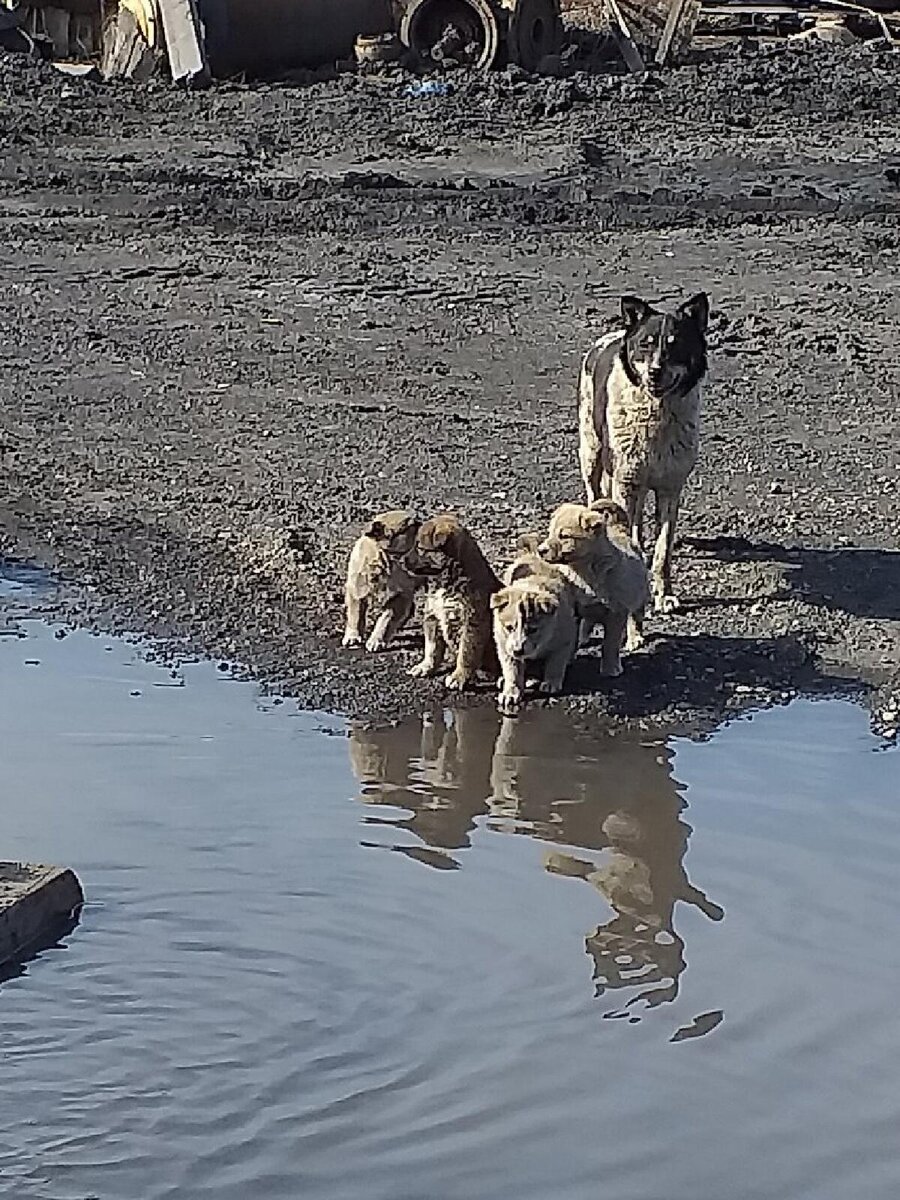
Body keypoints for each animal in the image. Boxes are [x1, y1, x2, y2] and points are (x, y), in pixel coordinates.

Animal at [343, 511, 424, 652]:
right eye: (410, 526)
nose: (423, 524)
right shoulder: (357, 590)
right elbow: (355, 615)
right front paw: (353, 636)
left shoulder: (400, 596)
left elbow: (386, 620)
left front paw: (376, 640)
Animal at [408, 511, 504, 691]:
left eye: (420, 548)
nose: (401, 561)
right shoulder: (433, 616)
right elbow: (431, 647)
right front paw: (425, 666)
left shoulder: (472, 622)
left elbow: (465, 653)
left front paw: (458, 677)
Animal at [494, 561, 578, 710]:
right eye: (509, 628)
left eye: (533, 630)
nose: (518, 650)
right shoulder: (504, 644)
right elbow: (511, 669)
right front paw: (511, 692)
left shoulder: (564, 636)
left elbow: (556, 662)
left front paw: (551, 683)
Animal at [542, 501, 648, 681]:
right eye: (550, 532)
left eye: (564, 536)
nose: (541, 550)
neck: (583, 572)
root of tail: (618, 528)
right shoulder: (575, 609)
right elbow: (572, 636)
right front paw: (568, 659)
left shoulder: (616, 613)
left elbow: (610, 644)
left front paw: (610, 668)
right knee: (588, 621)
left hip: (639, 594)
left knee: (636, 616)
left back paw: (635, 638)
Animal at [578, 288, 710, 609]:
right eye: (645, 344)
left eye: (676, 345)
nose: (654, 373)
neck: (656, 413)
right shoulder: (626, 481)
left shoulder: (670, 488)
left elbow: (663, 550)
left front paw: (664, 595)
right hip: (591, 453)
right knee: (595, 493)